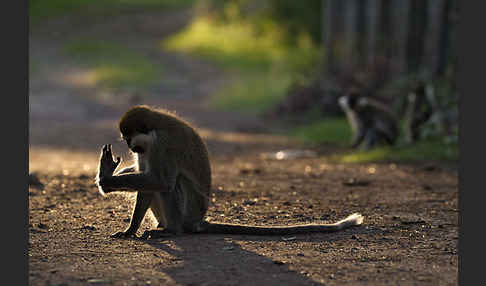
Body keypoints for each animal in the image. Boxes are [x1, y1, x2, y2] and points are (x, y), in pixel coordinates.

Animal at [95, 106, 362, 238]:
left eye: (129, 138)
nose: (130, 146)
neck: (154, 131)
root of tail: (197, 220)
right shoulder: (148, 149)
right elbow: (148, 179)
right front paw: (130, 229)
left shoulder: (163, 144)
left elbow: (161, 180)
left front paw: (106, 180)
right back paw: (163, 227)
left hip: (189, 210)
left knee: (170, 185)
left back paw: (174, 231)